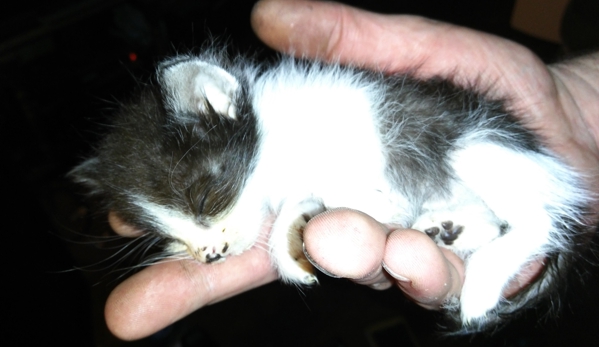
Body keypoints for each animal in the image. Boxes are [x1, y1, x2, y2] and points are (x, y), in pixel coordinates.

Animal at [69, 47, 592, 334]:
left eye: (203, 199)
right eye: (170, 238)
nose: (210, 257)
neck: (275, 145)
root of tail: (545, 162)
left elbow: (341, 189)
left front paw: (381, 204)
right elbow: (293, 211)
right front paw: (291, 256)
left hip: (474, 145)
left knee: (540, 221)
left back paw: (481, 283)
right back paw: (447, 229)